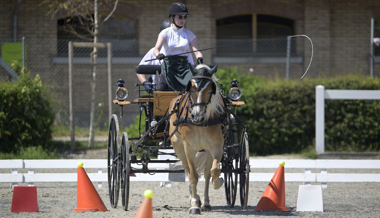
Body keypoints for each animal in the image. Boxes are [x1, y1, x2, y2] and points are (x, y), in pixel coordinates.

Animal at [168, 63, 227, 214]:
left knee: (206, 174)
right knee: (188, 170)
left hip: (206, 151)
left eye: (210, 90)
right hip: (179, 148)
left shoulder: (217, 146)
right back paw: (194, 197)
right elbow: (193, 176)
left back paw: (205, 202)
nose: (196, 116)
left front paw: (218, 183)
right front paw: (194, 205)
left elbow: (214, 171)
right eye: (191, 89)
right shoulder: (188, 148)